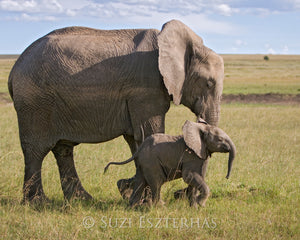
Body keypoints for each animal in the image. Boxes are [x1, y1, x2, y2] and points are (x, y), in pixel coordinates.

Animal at [8, 19, 224, 202]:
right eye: (209, 83)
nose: (180, 194)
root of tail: (14, 69)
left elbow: (135, 139)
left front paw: (129, 192)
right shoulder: (145, 89)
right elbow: (148, 133)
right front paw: (141, 199)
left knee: (63, 149)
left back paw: (82, 200)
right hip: (35, 103)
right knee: (36, 150)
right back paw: (38, 203)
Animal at [104, 120, 236, 208]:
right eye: (220, 140)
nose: (227, 177)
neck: (200, 129)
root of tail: (140, 148)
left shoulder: (200, 155)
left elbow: (197, 178)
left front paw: (195, 207)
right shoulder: (191, 156)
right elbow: (189, 176)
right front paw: (201, 204)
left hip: (144, 163)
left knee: (141, 181)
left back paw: (134, 206)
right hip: (151, 162)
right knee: (157, 182)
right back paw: (161, 207)